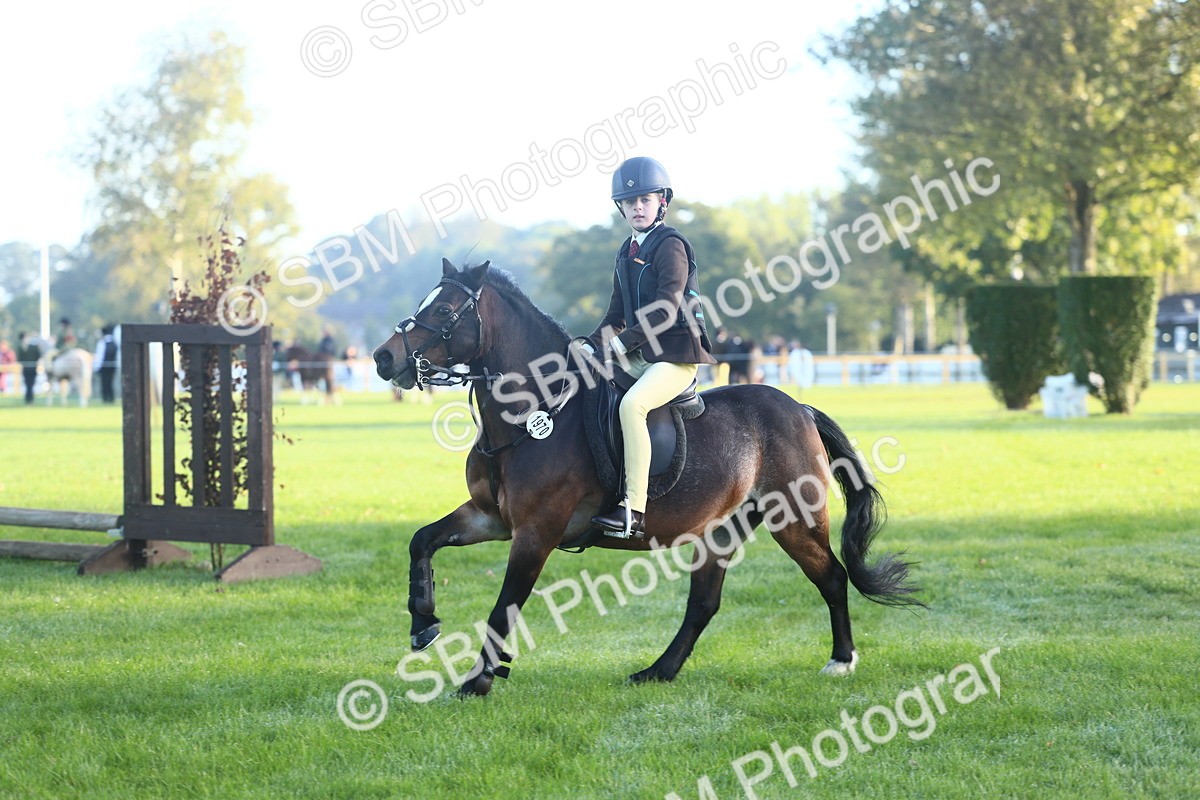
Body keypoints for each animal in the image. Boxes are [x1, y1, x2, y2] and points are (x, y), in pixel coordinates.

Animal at [373, 259, 922, 697]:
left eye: (445, 311)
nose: (384, 358)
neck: (534, 412)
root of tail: (799, 408)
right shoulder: (490, 518)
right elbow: (422, 540)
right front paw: (423, 622)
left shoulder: (534, 533)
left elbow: (504, 607)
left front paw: (479, 680)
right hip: (722, 529)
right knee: (704, 603)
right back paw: (658, 671)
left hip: (795, 519)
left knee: (831, 576)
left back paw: (841, 660)